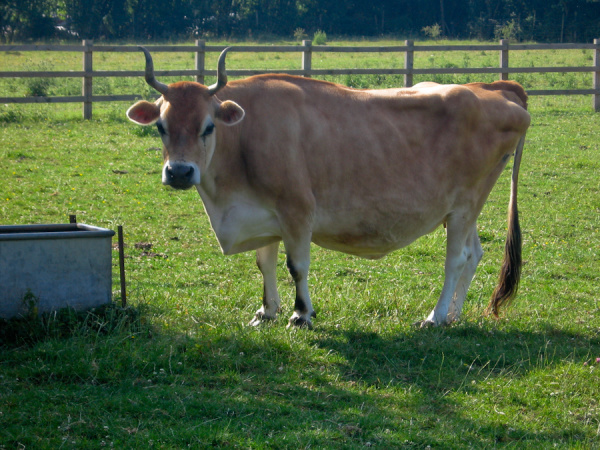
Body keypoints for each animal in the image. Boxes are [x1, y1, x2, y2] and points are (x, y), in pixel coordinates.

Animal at [126, 46, 528, 326]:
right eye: (160, 126)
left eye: (208, 127)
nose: (179, 172)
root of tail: (493, 87)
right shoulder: (264, 214)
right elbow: (264, 263)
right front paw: (266, 311)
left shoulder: (298, 209)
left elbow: (297, 266)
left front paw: (301, 314)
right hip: (462, 209)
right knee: (474, 253)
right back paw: (454, 314)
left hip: (464, 205)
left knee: (455, 259)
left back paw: (436, 315)